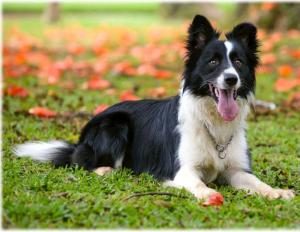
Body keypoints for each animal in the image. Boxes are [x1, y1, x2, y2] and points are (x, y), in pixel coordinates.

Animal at [14, 15, 296, 201]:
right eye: (213, 61)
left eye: (237, 62)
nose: (231, 79)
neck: (212, 121)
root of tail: (83, 136)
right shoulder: (182, 171)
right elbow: (200, 185)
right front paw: (210, 194)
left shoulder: (236, 169)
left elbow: (257, 181)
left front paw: (277, 191)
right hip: (115, 125)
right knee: (83, 162)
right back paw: (106, 170)